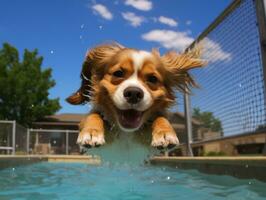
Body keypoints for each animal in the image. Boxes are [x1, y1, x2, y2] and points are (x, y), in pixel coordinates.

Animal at [66, 42, 206, 148]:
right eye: (118, 73)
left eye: (153, 79)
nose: (133, 93)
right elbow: (94, 115)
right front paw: (91, 132)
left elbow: (160, 117)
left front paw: (165, 133)